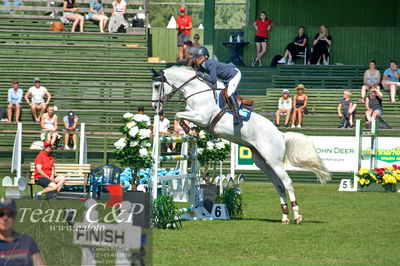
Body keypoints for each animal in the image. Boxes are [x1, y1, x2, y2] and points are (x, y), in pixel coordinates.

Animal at [152, 65, 330, 223]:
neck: (197, 91)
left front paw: (190, 130)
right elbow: (181, 116)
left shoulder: (202, 117)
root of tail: (280, 134)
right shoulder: (195, 115)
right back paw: (285, 217)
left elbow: (178, 114)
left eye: (156, 85)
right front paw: (192, 131)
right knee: (279, 185)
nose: (155, 106)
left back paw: (297, 215)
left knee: (287, 183)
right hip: (264, 162)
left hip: (275, 161)